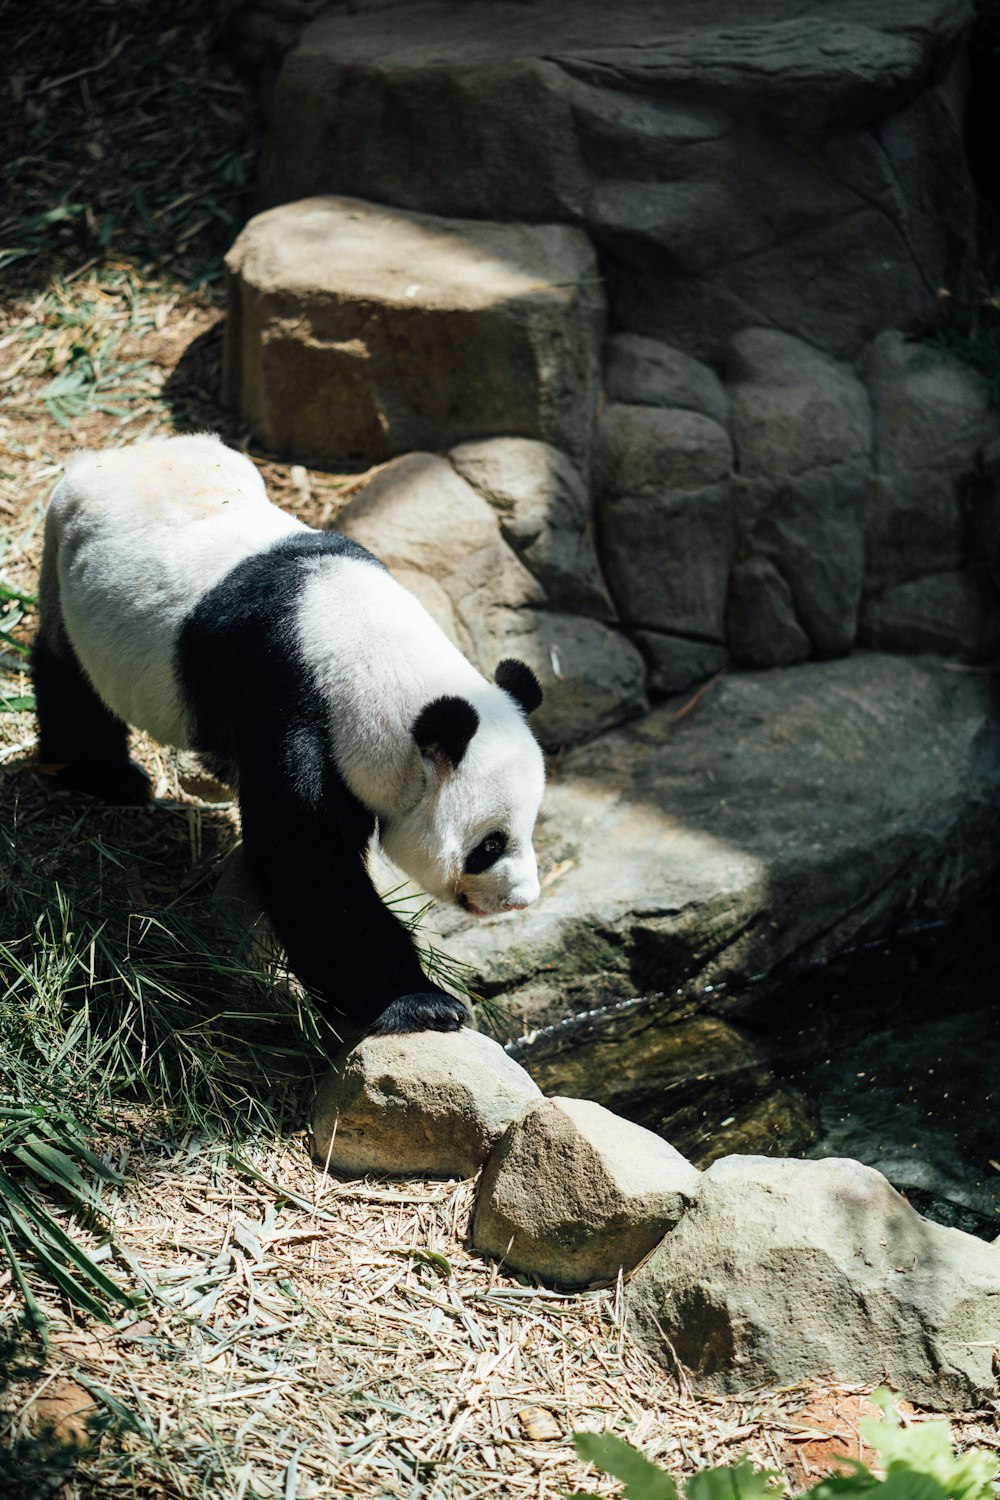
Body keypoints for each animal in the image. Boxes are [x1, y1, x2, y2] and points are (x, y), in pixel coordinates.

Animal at [35, 435, 548, 1044]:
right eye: (488, 845)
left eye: (529, 827)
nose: (520, 900)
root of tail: (109, 455)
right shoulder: (284, 702)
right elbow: (307, 861)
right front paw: (420, 1004)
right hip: (65, 564)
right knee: (70, 676)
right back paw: (104, 776)